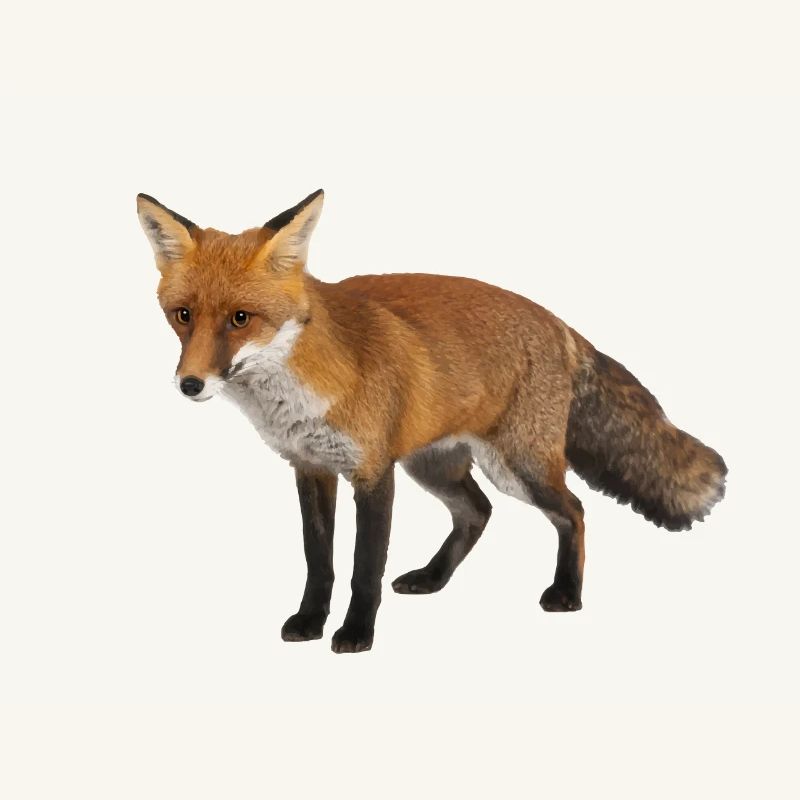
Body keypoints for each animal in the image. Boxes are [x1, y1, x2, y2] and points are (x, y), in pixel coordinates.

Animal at [137, 189, 727, 654]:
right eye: (183, 315)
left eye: (241, 319)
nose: (190, 384)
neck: (298, 390)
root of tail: (559, 323)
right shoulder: (310, 467)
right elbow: (318, 561)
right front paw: (309, 621)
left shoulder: (373, 472)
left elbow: (364, 567)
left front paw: (356, 634)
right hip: (435, 466)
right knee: (478, 513)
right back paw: (433, 578)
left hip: (519, 467)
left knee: (574, 512)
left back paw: (567, 594)